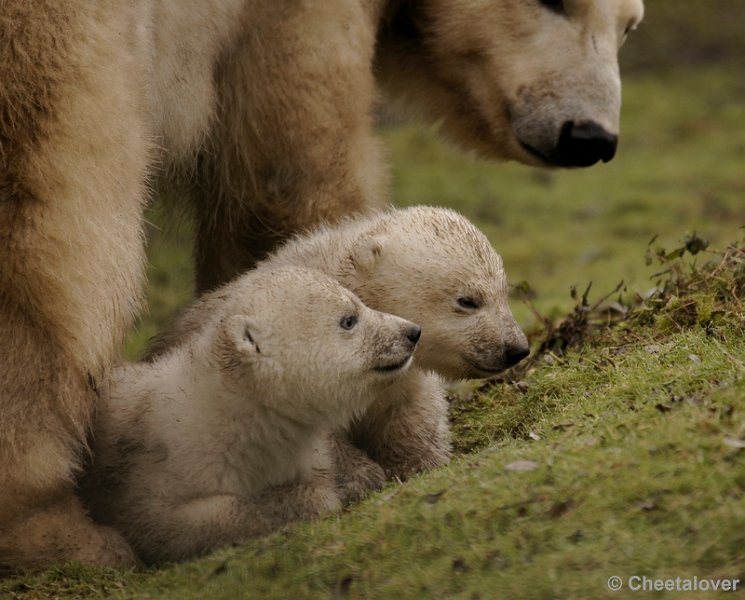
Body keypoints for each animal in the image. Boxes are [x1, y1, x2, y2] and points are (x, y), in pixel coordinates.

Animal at [0, 0, 640, 572]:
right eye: (467, 300)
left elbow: (408, 414)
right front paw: (360, 477)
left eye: (629, 26)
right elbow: (286, 169)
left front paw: (421, 462)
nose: (590, 136)